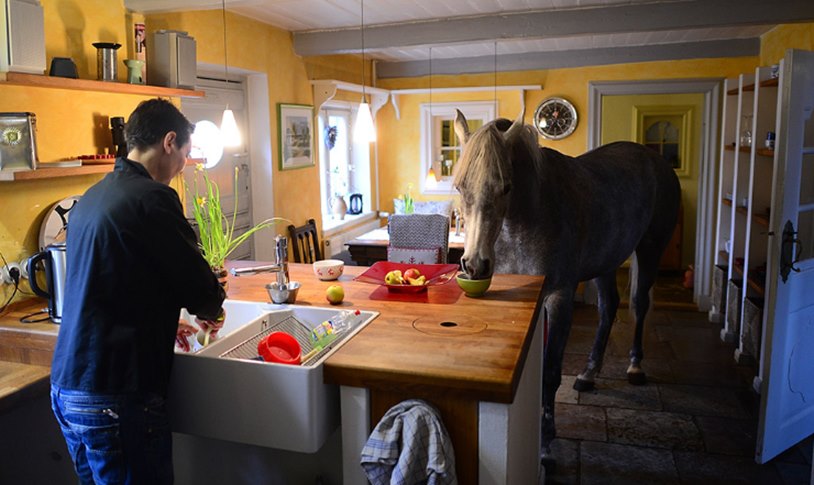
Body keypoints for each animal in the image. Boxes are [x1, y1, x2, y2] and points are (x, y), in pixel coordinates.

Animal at [452, 108, 684, 462]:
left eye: (506, 187)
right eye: (459, 187)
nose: (475, 264)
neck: (528, 215)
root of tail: (654, 159)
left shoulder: (558, 297)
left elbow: (550, 371)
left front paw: (546, 442)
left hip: (650, 250)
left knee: (639, 304)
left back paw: (634, 366)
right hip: (607, 262)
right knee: (608, 307)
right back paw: (589, 373)